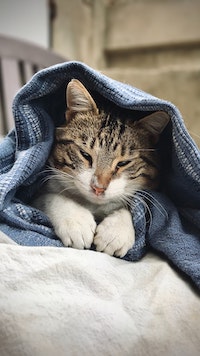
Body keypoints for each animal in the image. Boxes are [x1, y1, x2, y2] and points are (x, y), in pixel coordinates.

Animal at [32, 79, 169, 258]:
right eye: (85, 154)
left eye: (123, 163)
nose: (98, 188)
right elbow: (50, 196)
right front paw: (76, 220)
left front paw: (116, 232)